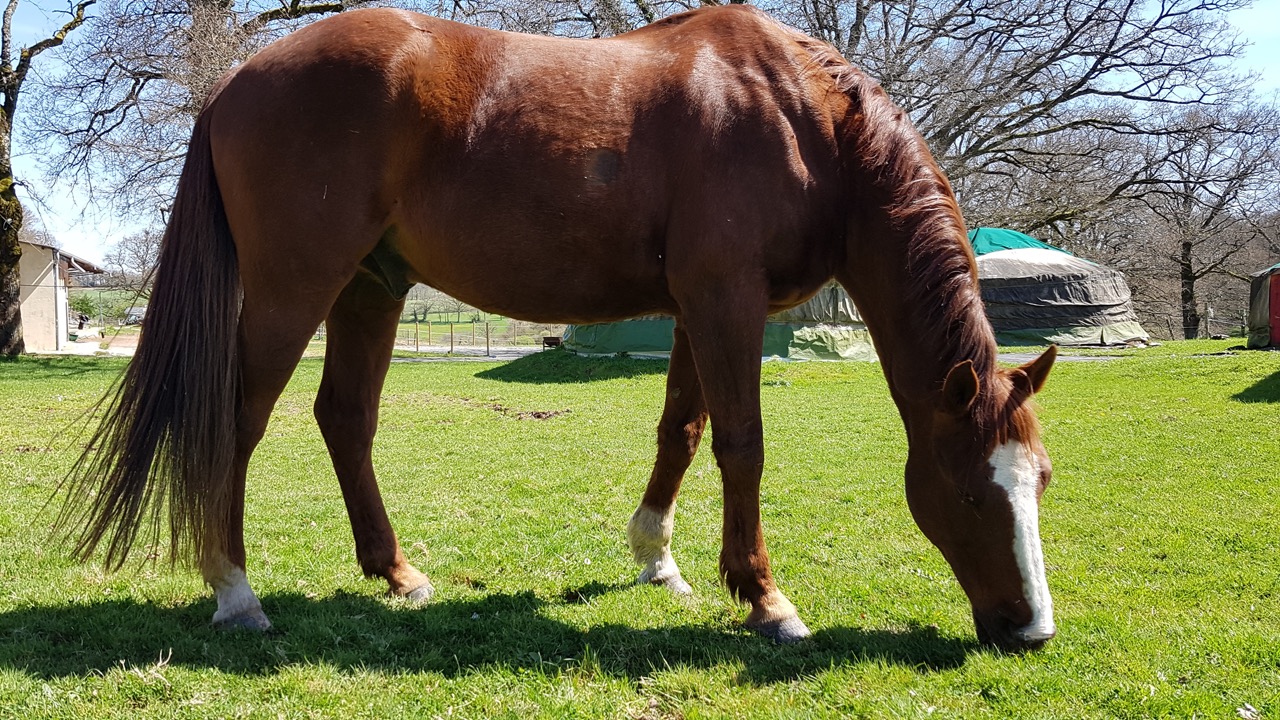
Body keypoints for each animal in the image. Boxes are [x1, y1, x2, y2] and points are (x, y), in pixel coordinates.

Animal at [60, 2, 1059, 648]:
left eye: (1040, 482)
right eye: (972, 493)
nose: (1032, 631)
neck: (799, 115)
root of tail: (238, 81)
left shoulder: (697, 309)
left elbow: (681, 430)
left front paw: (657, 559)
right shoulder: (725, 299)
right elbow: (741, 442)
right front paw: (766, 599)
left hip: (370, 288)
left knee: (345, 418)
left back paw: (397, 573)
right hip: (292, 287)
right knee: (240, 420)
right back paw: (235, 592)